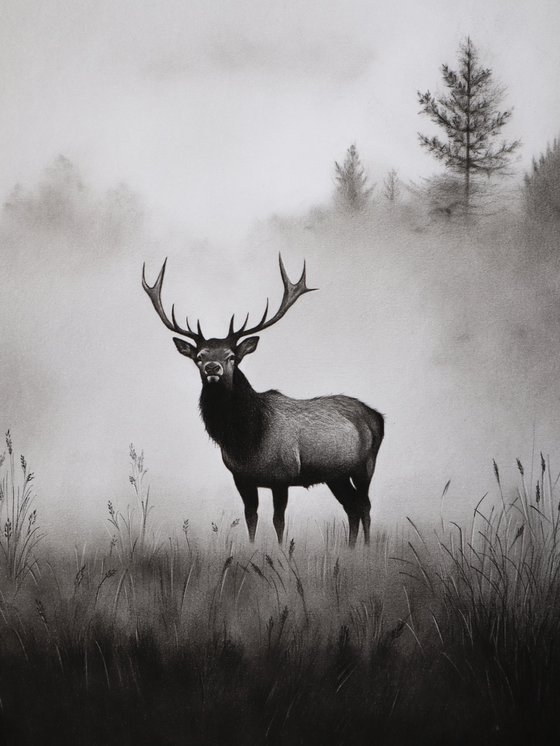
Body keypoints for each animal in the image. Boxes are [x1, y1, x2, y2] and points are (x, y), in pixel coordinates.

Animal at [142, 255, 384, 547]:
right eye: (199, 356)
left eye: (231, 356)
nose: (213, 368)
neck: (245, 440)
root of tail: (378, 416)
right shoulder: (241, 477)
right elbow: (251, 517)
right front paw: (252, 548)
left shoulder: (283, 475)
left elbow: (278, 521)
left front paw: (280, 552)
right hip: (335, 474)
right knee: (351, 507)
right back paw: (349, 550)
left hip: (366, 464)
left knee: (365, 505)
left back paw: (366, 549)